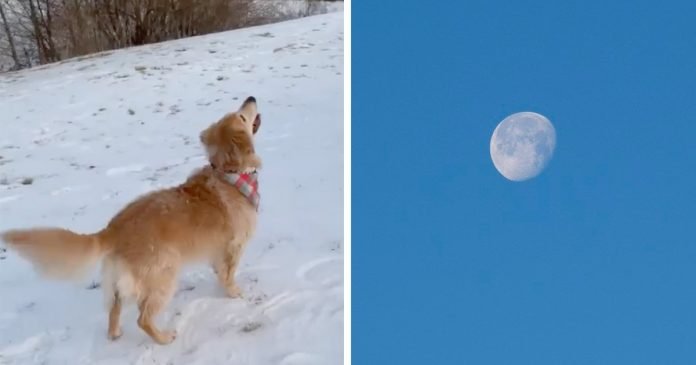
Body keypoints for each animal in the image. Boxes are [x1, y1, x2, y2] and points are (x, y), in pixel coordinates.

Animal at [1, 95, 262, 342]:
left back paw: (115, 333)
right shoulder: (234, 245)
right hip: (163, 277)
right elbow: (229, 273)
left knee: (114, 307)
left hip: (122, 281)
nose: (251, 98)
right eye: (241, 117)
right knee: (142, 318)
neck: (229, 174)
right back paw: (164, 338)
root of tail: (113, 228)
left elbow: (219, 270)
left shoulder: (217, 250)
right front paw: (234, 292)